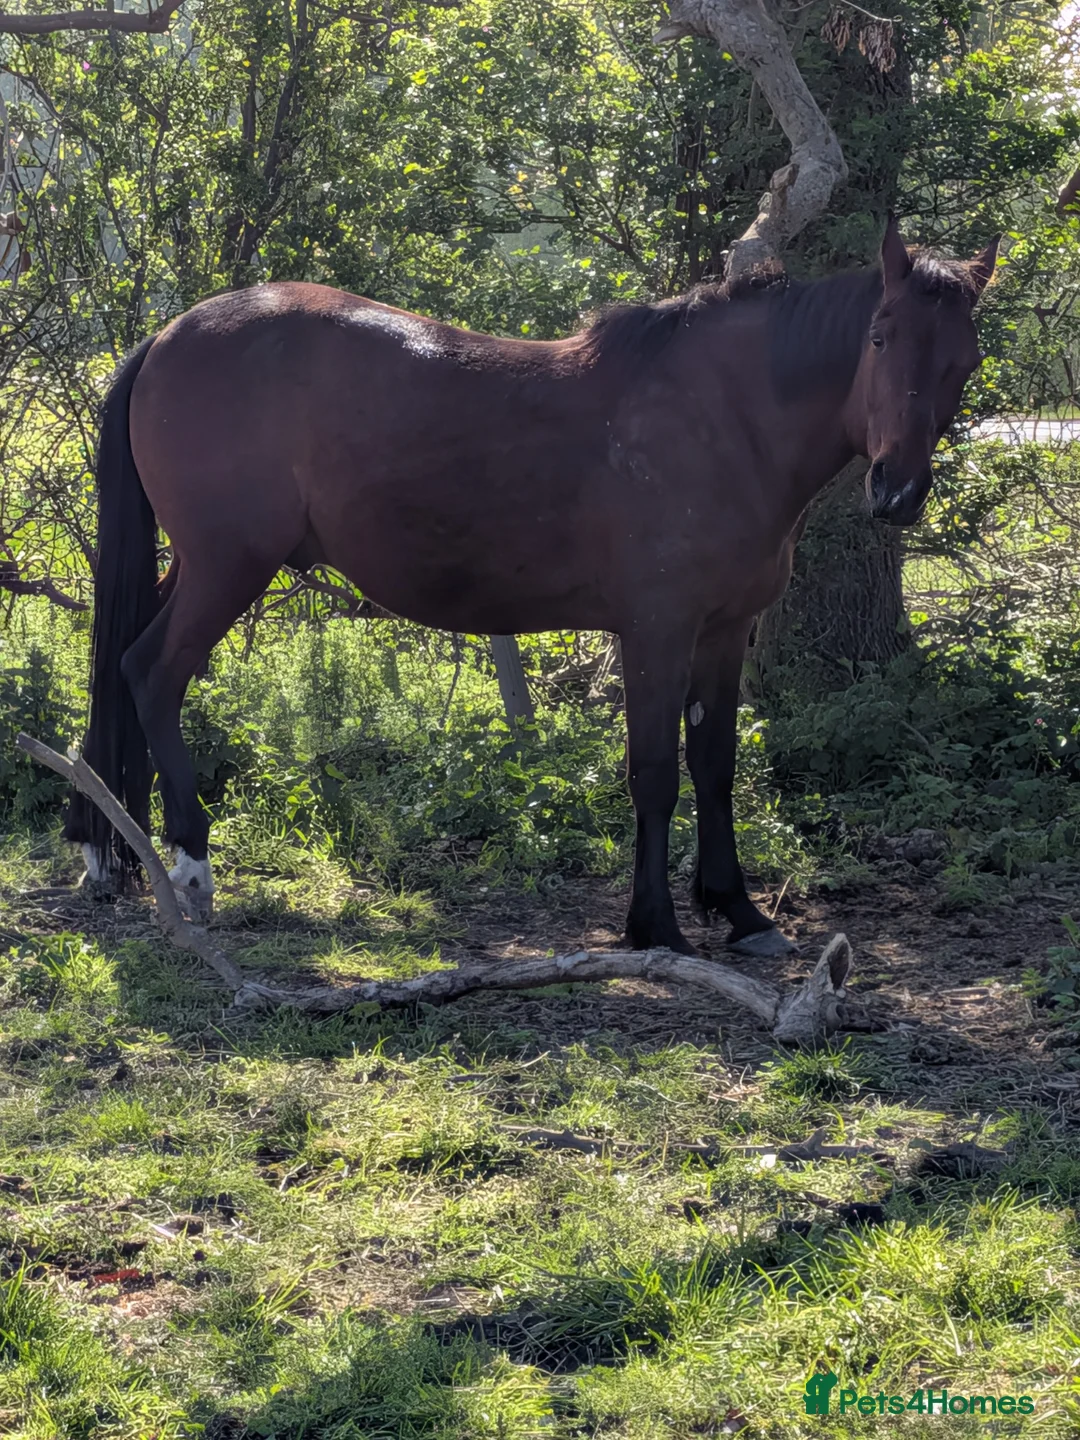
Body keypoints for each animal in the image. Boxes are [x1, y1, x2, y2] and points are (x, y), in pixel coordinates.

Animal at [65, 217, 999, 955]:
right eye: (879, 337)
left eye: (964, 360)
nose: (897, 491)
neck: (727, 414)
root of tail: (170, 336)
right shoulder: (656, 630)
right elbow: (653, 772)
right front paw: (655, 924)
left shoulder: (723, 630)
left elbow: (716, 764)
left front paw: (737, 909)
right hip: (229, 566)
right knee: (152, 672)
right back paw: (190, 862)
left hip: (197, 566)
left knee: (127, 667)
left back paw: (121, 844)